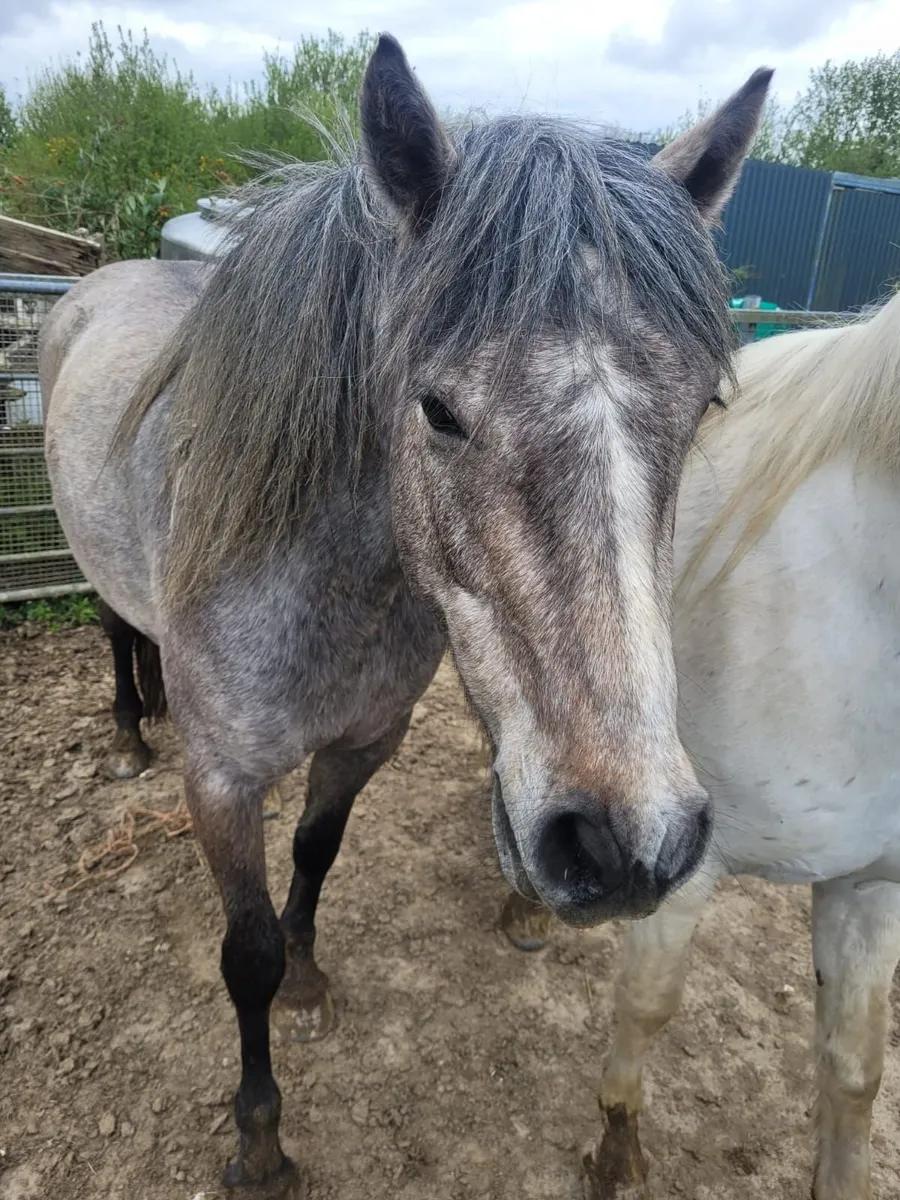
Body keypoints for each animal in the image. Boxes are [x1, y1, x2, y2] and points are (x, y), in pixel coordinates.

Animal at [39, 34, 770, 1199]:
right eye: (436, 409)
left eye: (705, 404)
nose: (629, 844)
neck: (328, 587)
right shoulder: (221, 783)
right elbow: (243, 952)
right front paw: (261, 1141)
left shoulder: (365, 742)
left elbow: (317, 854)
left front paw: (308, 977)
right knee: (116, 632)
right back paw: (125, 733)